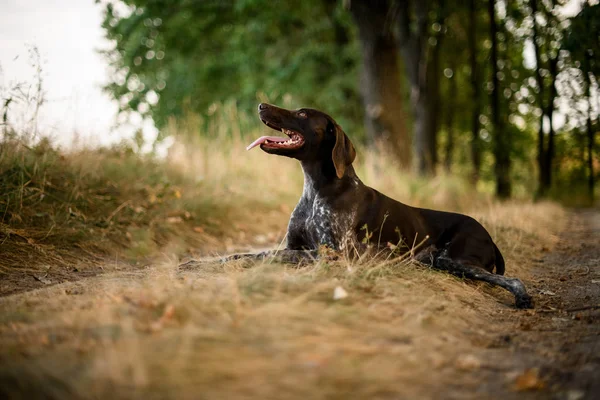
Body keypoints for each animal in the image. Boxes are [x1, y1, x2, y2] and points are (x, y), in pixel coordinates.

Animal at [217, 103, 536, 310]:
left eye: (302, 114)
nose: (261, 105)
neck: (317, 189)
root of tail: (491, 238)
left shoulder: (332, 255)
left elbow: (276, 256)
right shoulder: (294, 245)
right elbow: (256, 253)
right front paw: (216, 260)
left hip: (454, 259)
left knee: (513, 279)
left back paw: (523, 298)